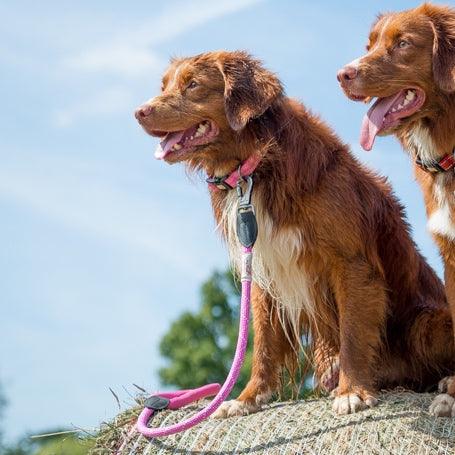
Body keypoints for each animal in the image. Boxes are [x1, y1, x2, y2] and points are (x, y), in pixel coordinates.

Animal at [137, 50, 454, 416]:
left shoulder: (351, 262)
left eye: (193, 85)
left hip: (425, 323)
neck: (258, 162)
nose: (139, 112)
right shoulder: (263, 270)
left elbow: (353, 332)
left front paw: (352, 391)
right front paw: (248, 398)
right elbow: (262, 341)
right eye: (164, 86)